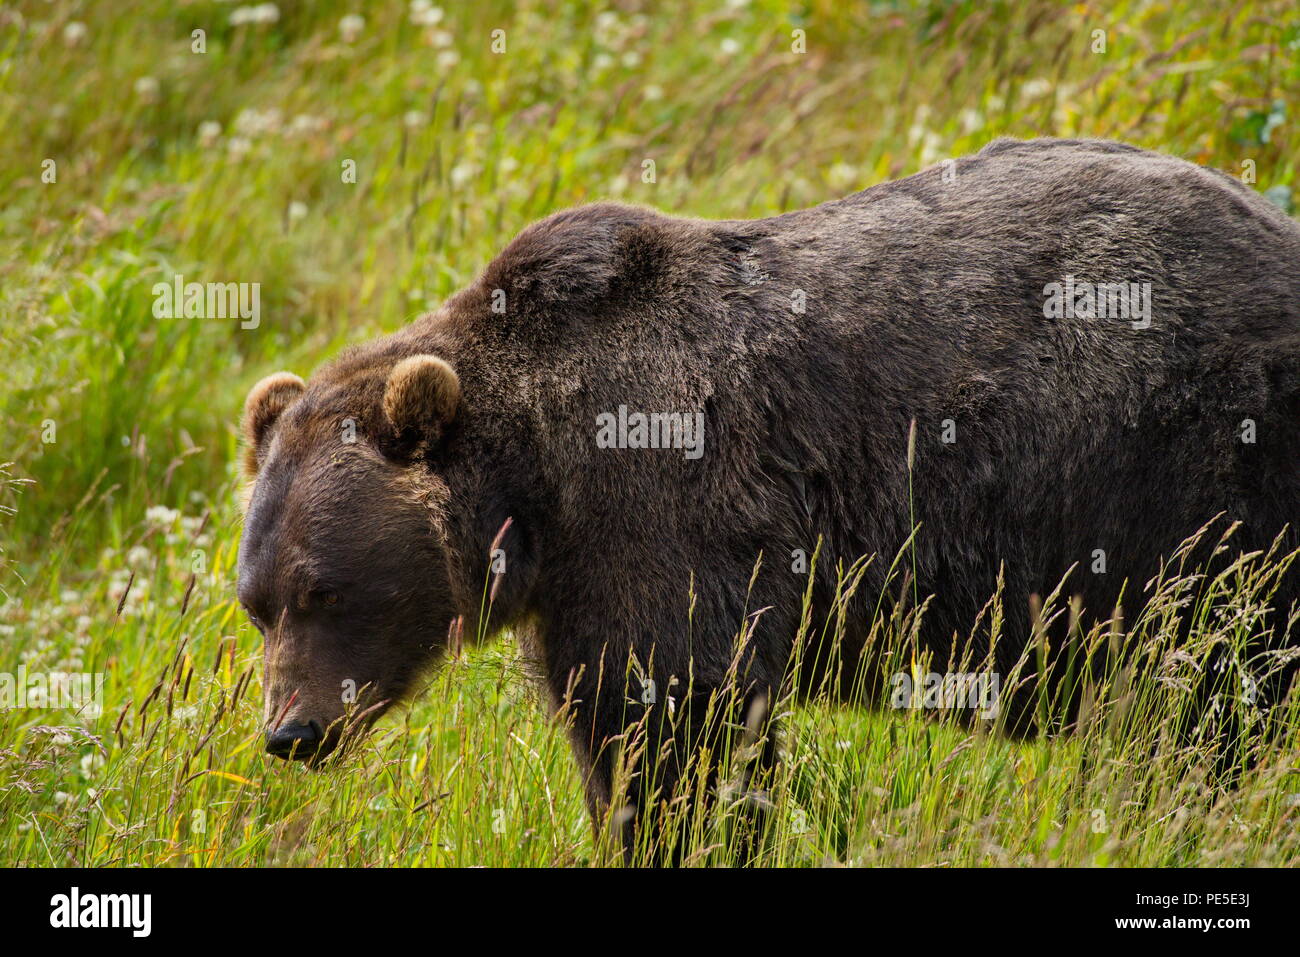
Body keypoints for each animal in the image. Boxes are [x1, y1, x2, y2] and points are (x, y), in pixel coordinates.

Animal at [236, 138, 1300, 863]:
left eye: (325, 587)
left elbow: (682, 725)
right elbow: (615, 727)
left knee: (1211, 690)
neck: (536, 481)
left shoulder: (659, 517)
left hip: (1191, 475)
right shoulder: (576, 586)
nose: (290, 732)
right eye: (256, 603)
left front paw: (690, 833)